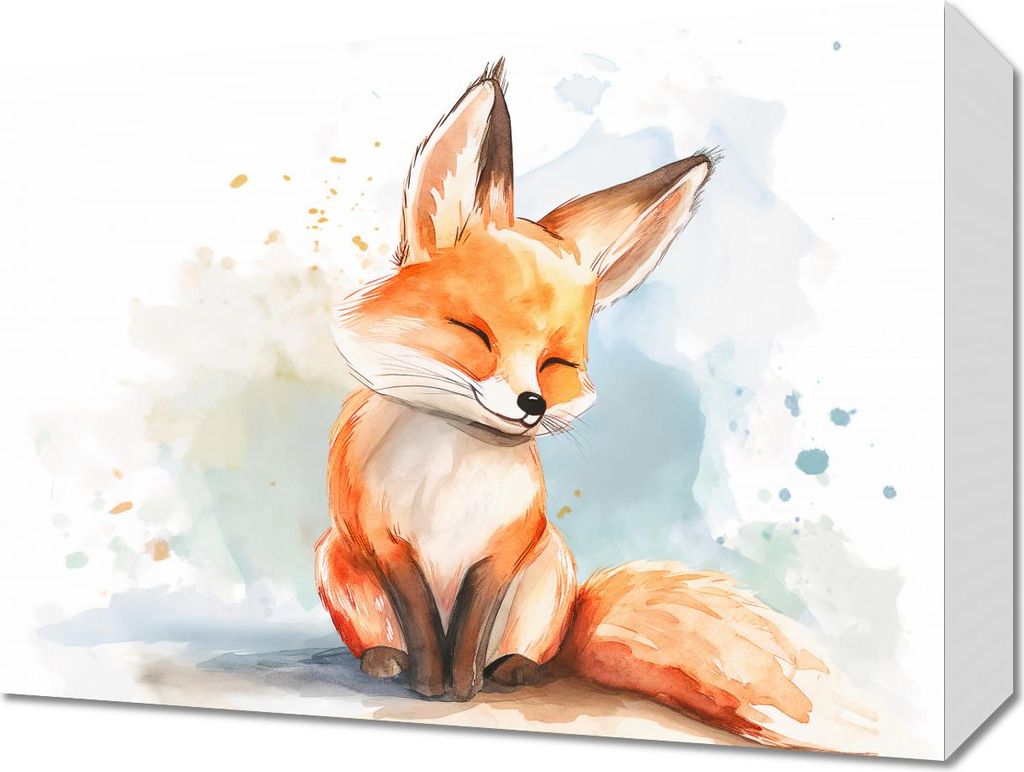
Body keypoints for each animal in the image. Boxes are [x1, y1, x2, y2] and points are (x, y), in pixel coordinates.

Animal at [315, 61, 878, 751]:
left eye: (556, 364)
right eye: (474, 333)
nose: (530, 403)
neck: (453, 461)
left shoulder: (504, 546)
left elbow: (470, 629)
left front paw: (463, 686)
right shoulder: (385, 543)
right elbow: (423, 622)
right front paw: (430, 684)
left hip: (549, 572)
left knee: (531, 652)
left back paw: (515, 671)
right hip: (336, 561)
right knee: (383, 638)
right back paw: (384, 661)